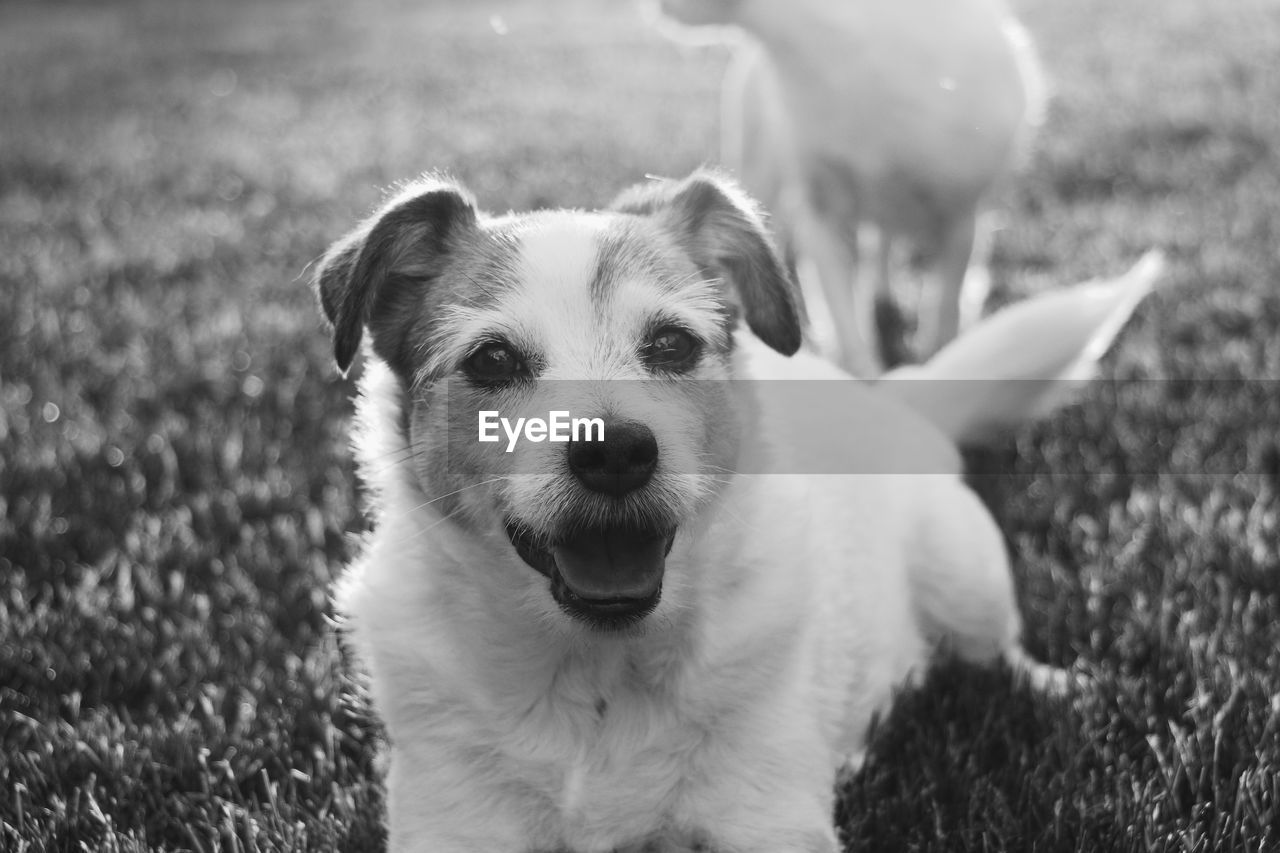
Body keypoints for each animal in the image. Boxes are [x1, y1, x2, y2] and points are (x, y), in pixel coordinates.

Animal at [312, 167, 1162, 850]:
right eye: (492, 359)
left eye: (672, 345)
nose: (615, 451)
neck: (597, 678)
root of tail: (890, 400)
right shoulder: (452, 820)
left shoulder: (766, 817)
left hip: (966, 574)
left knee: (995, 654)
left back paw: (1057, 687)